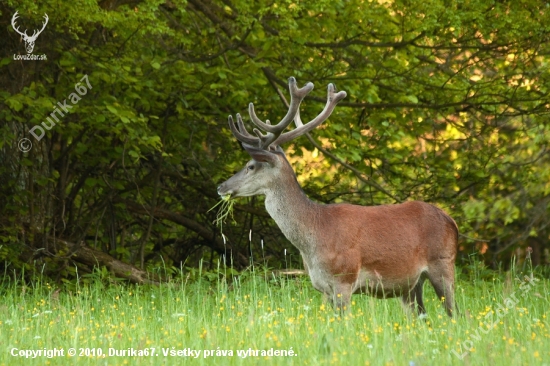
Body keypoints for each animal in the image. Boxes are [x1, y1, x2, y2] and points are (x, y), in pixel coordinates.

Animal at [218, 76, 460, 316]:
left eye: (250, 166)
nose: (221, 187)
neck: (315, 235)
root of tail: (452, 221)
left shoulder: (344, 278)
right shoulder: (323, 287)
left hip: (443, 264)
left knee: (456, 313)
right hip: (410, 285)